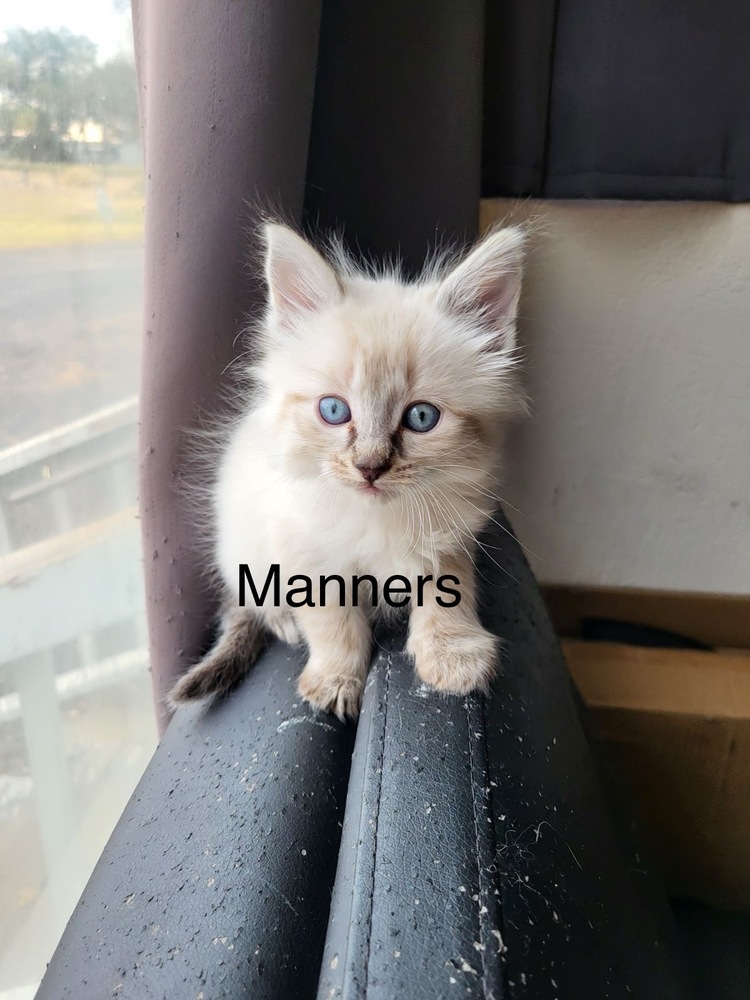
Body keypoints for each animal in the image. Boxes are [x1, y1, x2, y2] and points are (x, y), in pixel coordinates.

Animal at [171, 222, 524, 716]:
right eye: (334, 410)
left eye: (421, 418)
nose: (369, 467)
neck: (377, 520)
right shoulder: (305, 549)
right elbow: (333, 624)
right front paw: (334, 681)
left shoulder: (447, 533)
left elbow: (448, 594)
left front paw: (453, 659)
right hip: (240, 542)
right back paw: (282, 620)